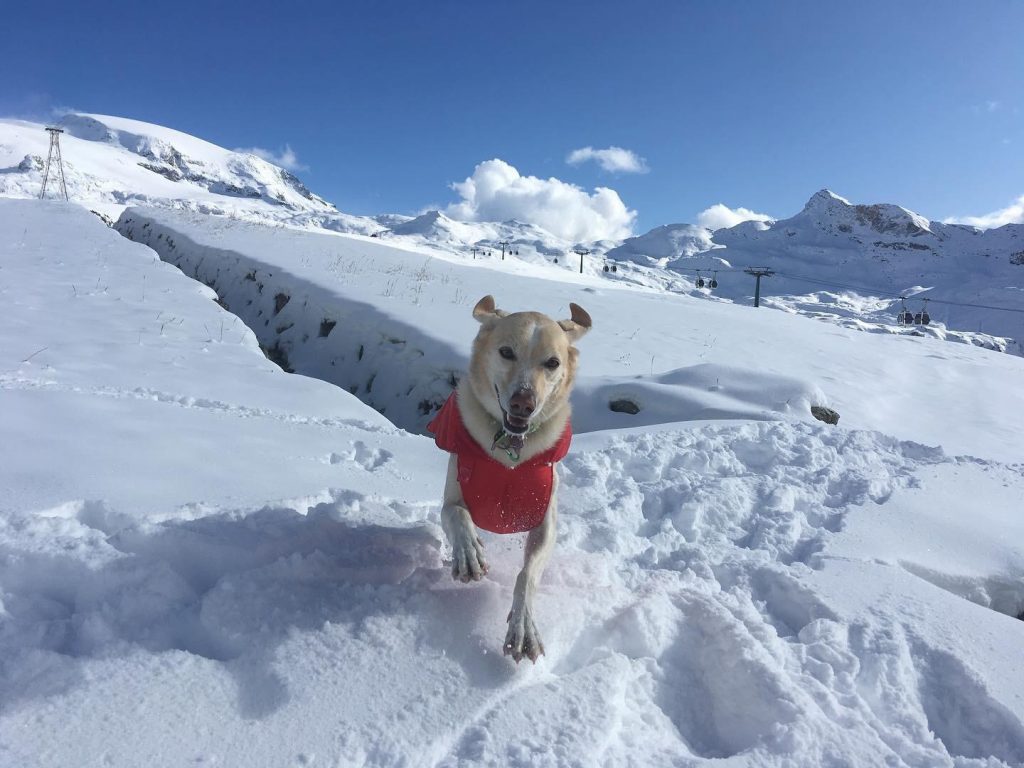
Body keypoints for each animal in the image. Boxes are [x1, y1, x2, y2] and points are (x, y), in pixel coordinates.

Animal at [428, 294, 593, 663]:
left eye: (552, 362)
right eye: (506, 352)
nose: (523, 403)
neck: (510, 447)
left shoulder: (545, 521)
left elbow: (526, 575)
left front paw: (524, 629)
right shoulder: (453, 492)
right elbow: (457, 515)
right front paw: (469, 554)